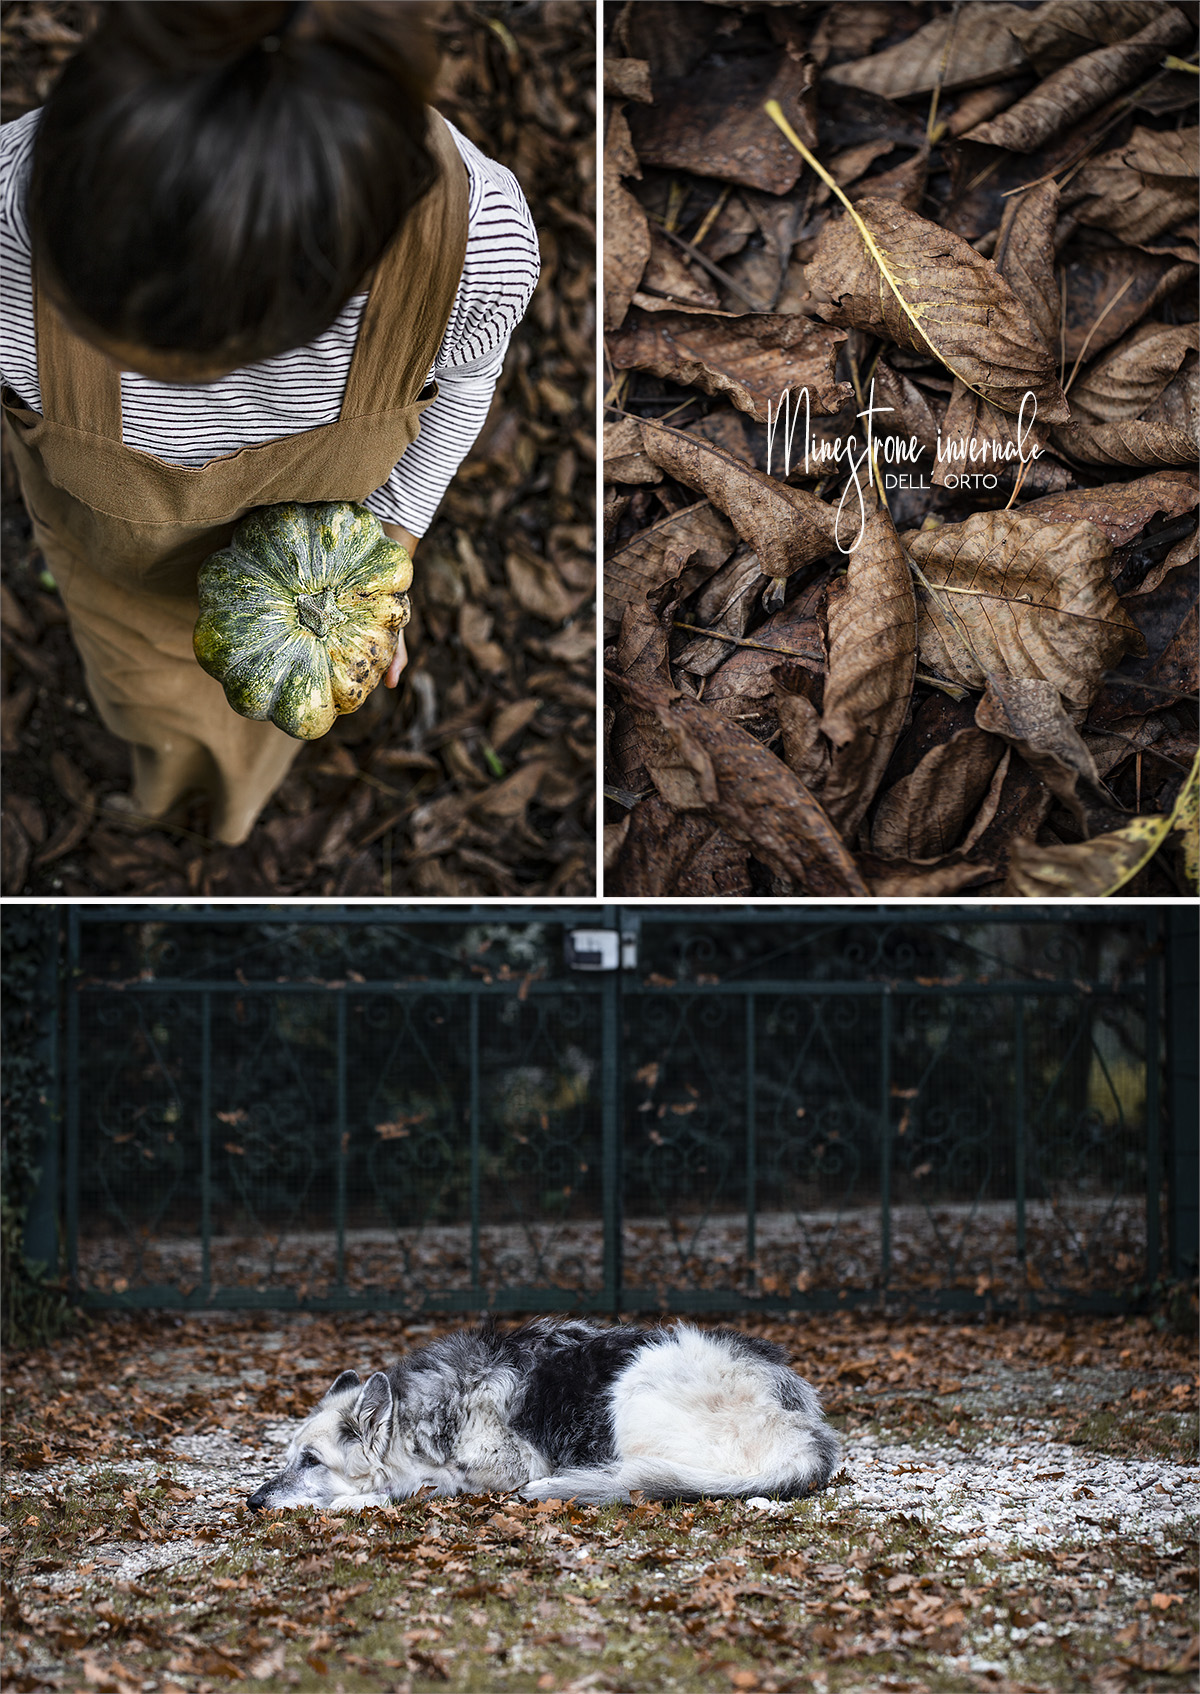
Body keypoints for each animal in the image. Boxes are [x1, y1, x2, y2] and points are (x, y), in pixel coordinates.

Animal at [249, 1321, 840, 1511]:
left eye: (310, 1460)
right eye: (287, 1457)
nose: (253, 1502)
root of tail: (807, 1432)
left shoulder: (505, 1467)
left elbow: (424, 1486)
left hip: (636, 1382)